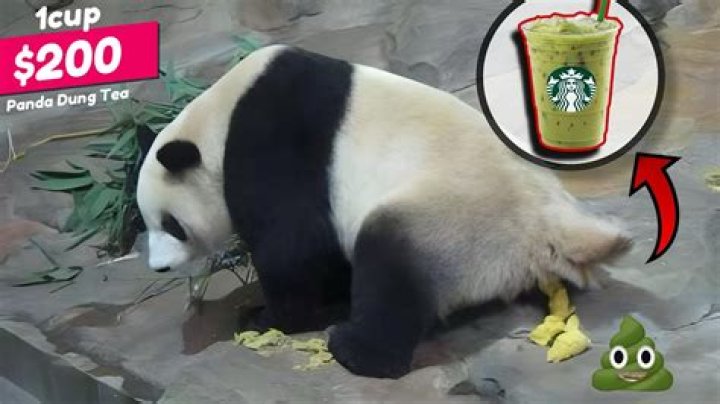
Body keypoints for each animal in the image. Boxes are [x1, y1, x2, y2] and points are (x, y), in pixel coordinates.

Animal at [136, 45, 630, 378]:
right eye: (148, 223)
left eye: (171, 224)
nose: (158, 268)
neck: (218, 116)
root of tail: (549, 220)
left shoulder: (274, 139)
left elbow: (294, 243)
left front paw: (266, 317)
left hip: (456, 217)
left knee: (390, 263)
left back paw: (355, 348)